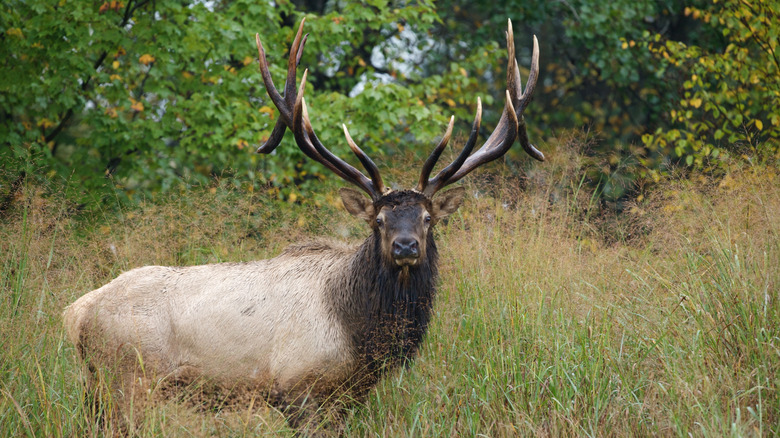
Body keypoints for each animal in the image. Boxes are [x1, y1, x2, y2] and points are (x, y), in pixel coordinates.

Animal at [62, 18, 544, 434]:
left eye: (427, 219)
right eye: (379, 220)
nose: (406, 247)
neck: (359, 334)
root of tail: (76, 313)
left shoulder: (348, 397)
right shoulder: (298, 388)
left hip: (97, 388)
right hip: (127, 380)